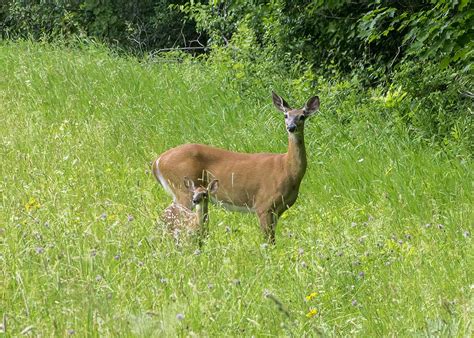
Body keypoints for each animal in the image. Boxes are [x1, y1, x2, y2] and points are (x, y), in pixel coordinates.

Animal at [154, 91, 320, 242]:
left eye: (302, 116)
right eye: (286, 115)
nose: (291, 127)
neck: (287, 170)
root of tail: (157, 161)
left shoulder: (278, 210)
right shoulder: (263, 205)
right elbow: (268, 241)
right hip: (183, 190)